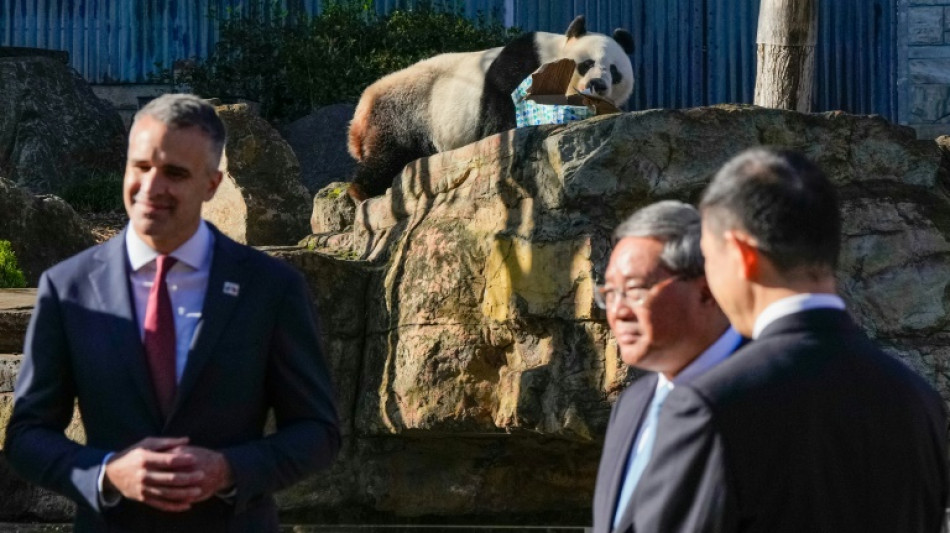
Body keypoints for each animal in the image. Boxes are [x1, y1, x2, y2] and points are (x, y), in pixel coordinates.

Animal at [347, 15, 635, 200]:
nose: (598, 85)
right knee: (390, 151)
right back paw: (362, 190)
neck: (554, 55)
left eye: (615, 72)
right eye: (586, 64)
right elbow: (501, 105)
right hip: (406, 108)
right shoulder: (524, 61)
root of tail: (361, 111)